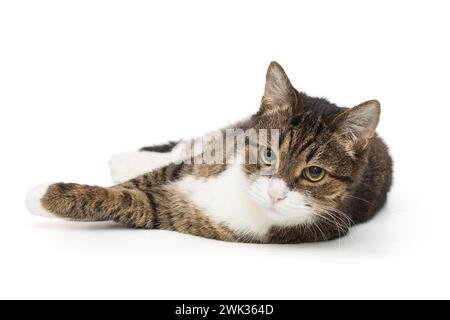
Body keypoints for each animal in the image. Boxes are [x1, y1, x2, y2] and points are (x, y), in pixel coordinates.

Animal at [25, 62, 390, 242]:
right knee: (188, 147)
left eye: (315, 173)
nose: (275, 194)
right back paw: (127, 159)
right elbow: (151, 176)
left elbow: (132, 200)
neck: (242, 188)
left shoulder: (182, 214)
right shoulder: (208, 159)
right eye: (268, 153)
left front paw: (44, 196)